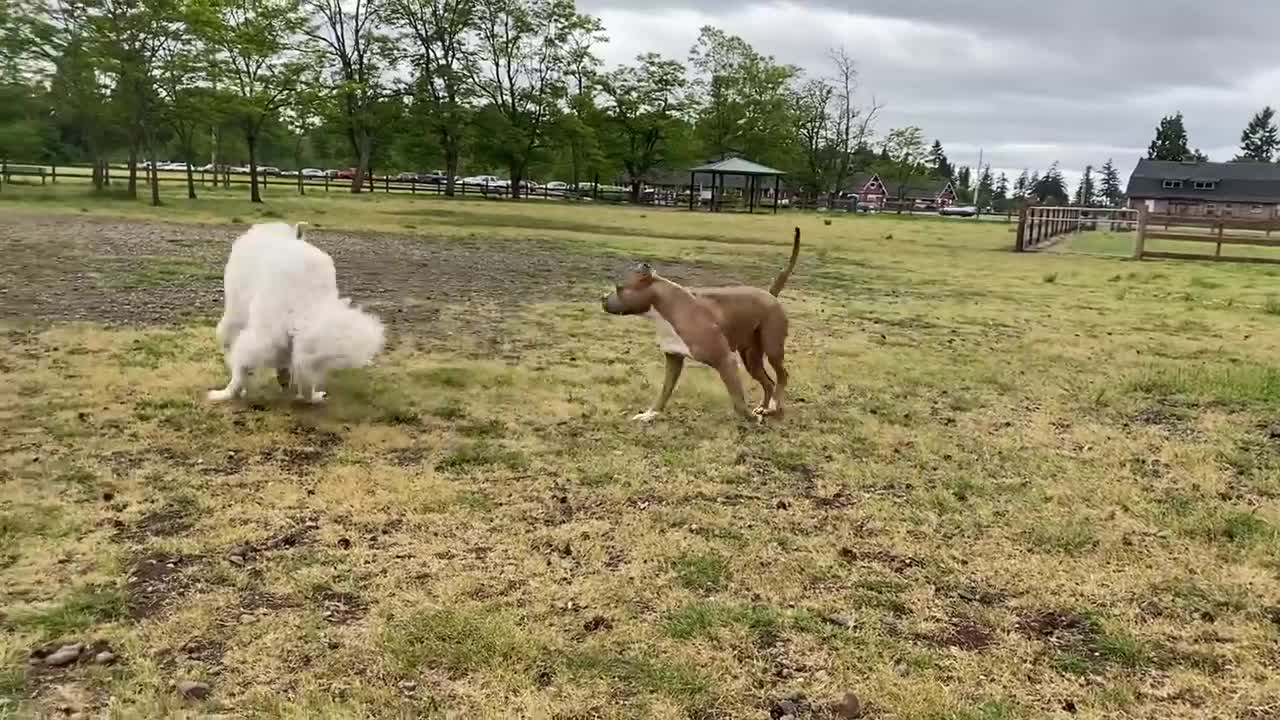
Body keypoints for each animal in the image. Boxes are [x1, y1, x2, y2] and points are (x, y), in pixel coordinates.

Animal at [209, 221, 384, 399]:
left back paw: (225, 393)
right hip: (305, 338)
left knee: (243, 364)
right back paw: (310, 394)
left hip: (264, 332)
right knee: (304, 374)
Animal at [601, 226, 798, 420]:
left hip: (772, 348)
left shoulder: (725, 360)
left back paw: (774, 406)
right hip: (751, 357)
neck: (665, 307)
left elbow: (737, 399)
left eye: (619, 288)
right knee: (768, 382)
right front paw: (650, 413)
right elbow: (664, 391)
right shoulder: (673, 359)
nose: (602, 298)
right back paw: (764, 407)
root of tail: (770, 294)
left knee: (782, 376)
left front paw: (748, 418)